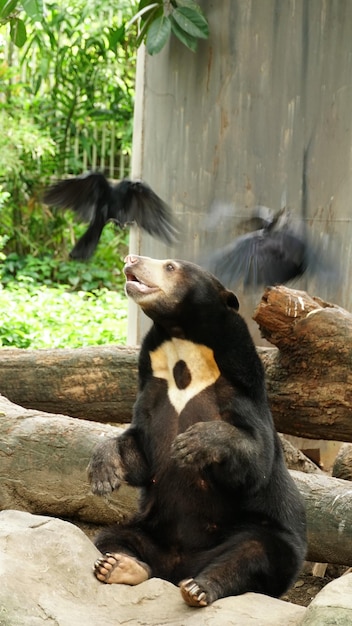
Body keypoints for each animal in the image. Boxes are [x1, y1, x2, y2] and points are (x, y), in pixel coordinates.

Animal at [87, 252, 306, 604]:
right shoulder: (151, 390)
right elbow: (140, 450)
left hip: (268, 538)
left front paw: (191, 444)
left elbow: (256, 459)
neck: (183, 350)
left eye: (170, 266)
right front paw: (104, 473)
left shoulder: (241, 392)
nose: (131, 258)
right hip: (149, 529)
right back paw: (120, 566)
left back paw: (199, 588)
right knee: (112, 537)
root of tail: (178, 567)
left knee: (254, 550)